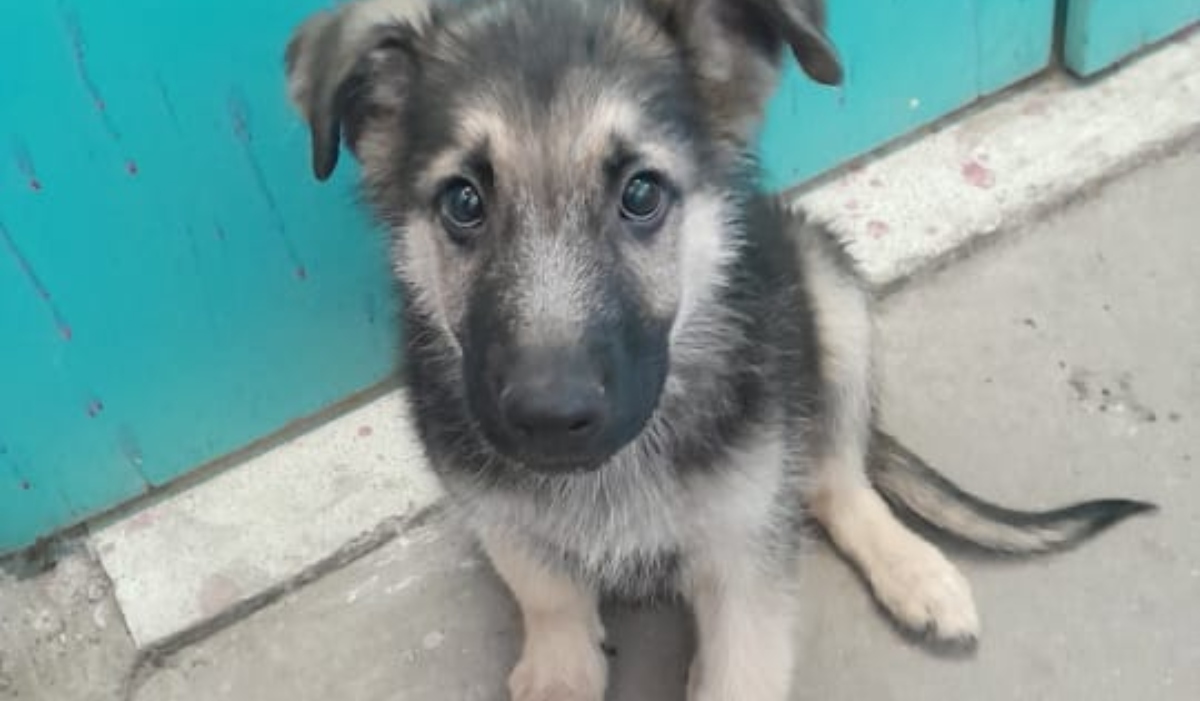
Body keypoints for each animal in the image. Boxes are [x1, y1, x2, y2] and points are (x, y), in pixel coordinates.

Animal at [280, 2, 1152, 696]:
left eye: (641, 193)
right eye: (463, 203)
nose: (549, 417)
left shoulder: (746, 564)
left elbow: (745, 655)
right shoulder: (498, 514)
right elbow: (548, 597)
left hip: (827, 289)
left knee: (839, 479)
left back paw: (915, 570)